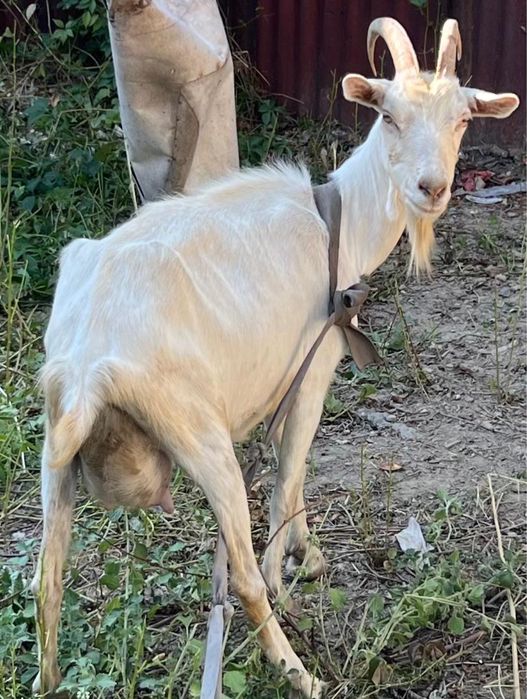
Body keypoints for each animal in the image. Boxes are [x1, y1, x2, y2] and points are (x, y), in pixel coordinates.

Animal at [32, 18, 518, 698]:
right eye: (388, 115)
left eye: (463, 120)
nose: (432, 188)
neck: (341, 218)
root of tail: (85, 363)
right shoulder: (314, 367)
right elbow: (290, 473)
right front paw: (292, 569)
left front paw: (305, 553)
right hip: (198, 433)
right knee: (236, 576)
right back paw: (297, 670)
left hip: (54, 444)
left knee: (46, 580)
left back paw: (47, 680)